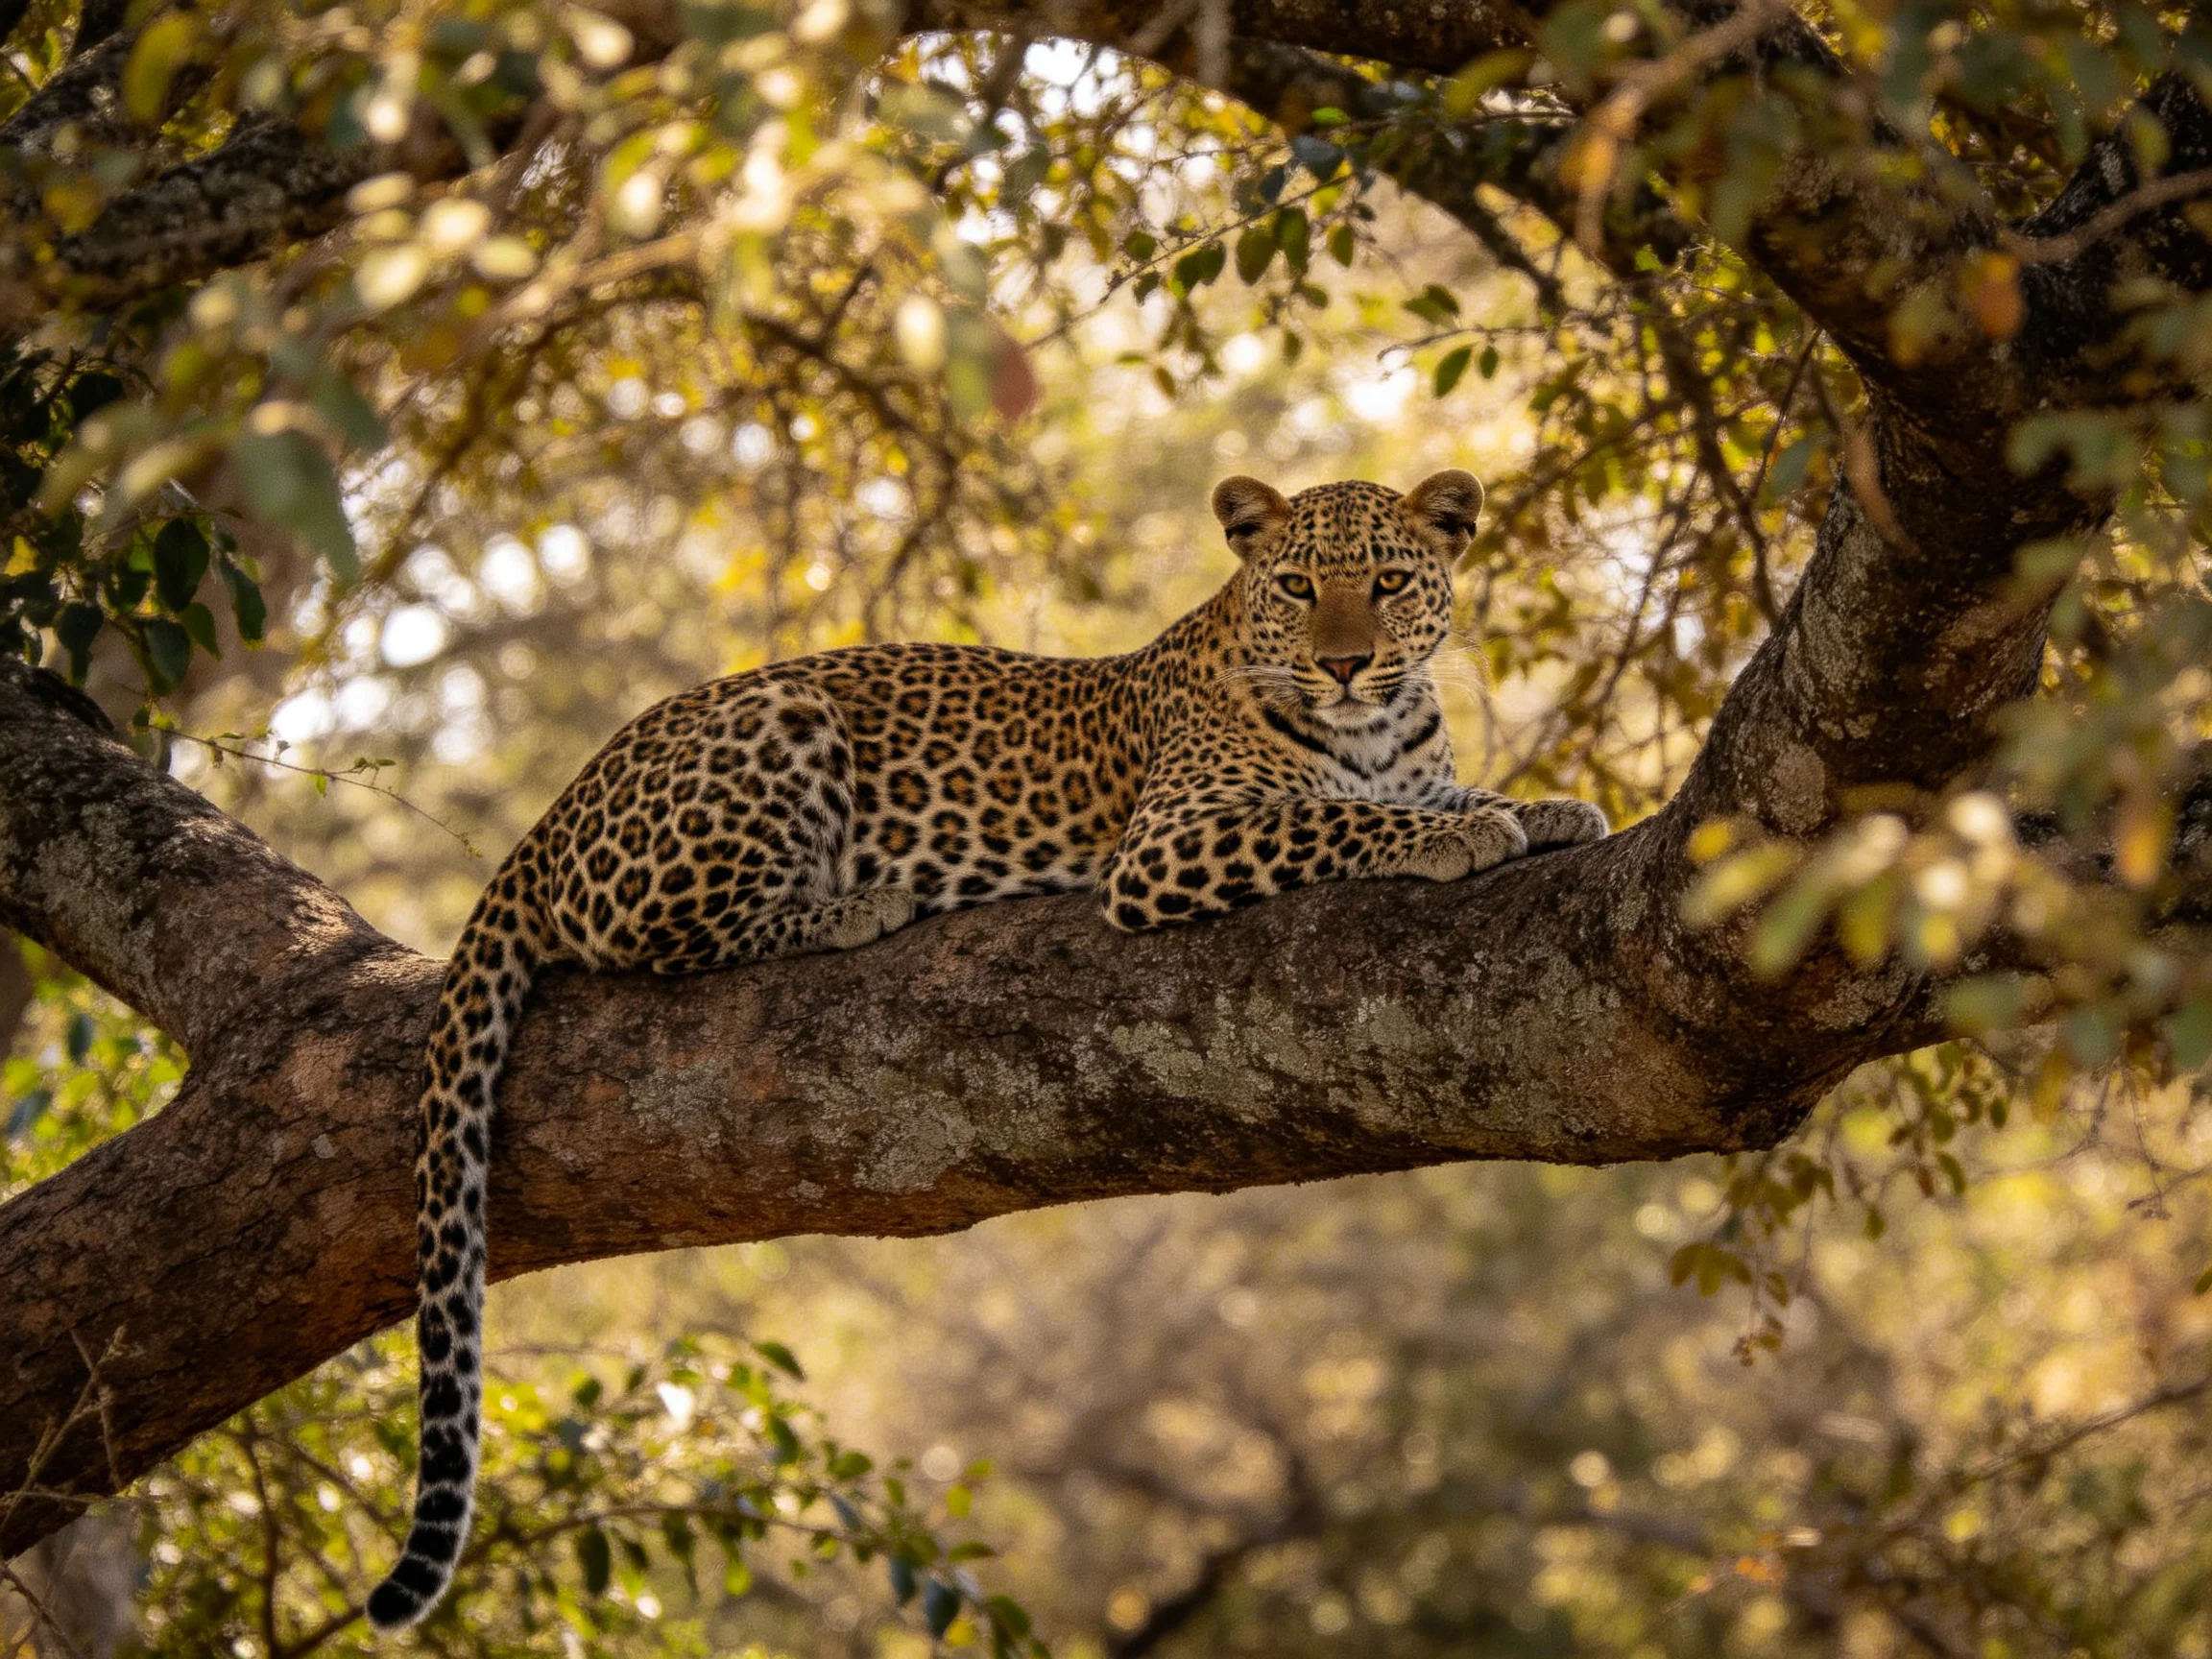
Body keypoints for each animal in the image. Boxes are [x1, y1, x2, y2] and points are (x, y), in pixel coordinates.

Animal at [365, 468, 1609, 1630]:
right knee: (660, 939)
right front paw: (1464, 833)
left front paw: (1548, 807)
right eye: (1300, 587)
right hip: (777, 728)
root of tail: (554, 810)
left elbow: (1442, 788)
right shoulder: (1172, 843)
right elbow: (1339, 817)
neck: (1379, 726)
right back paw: (860, 904)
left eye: (1388, 582)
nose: (1347, 665)